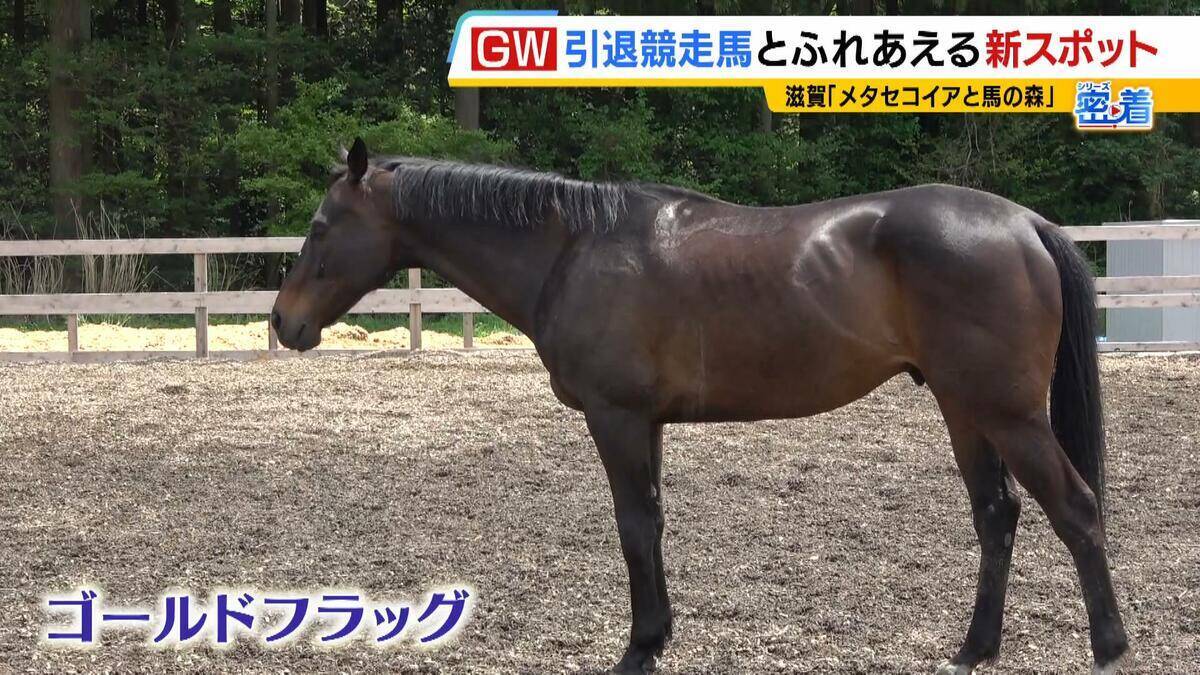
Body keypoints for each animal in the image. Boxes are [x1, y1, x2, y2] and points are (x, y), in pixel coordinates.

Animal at [271, 138, 1128, 674]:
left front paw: (640, 645)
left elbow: (633, 525)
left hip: (1008, 413)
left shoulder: (616, 417)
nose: (284, 322)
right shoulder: (644, 423)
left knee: (1075, 509)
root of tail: (1024, 222)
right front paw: (657, 635)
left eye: (319, 225)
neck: (573, 250)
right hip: (963, 406)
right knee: (997, 514)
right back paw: (974, 647)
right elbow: (651, 523)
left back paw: (1109, 644)